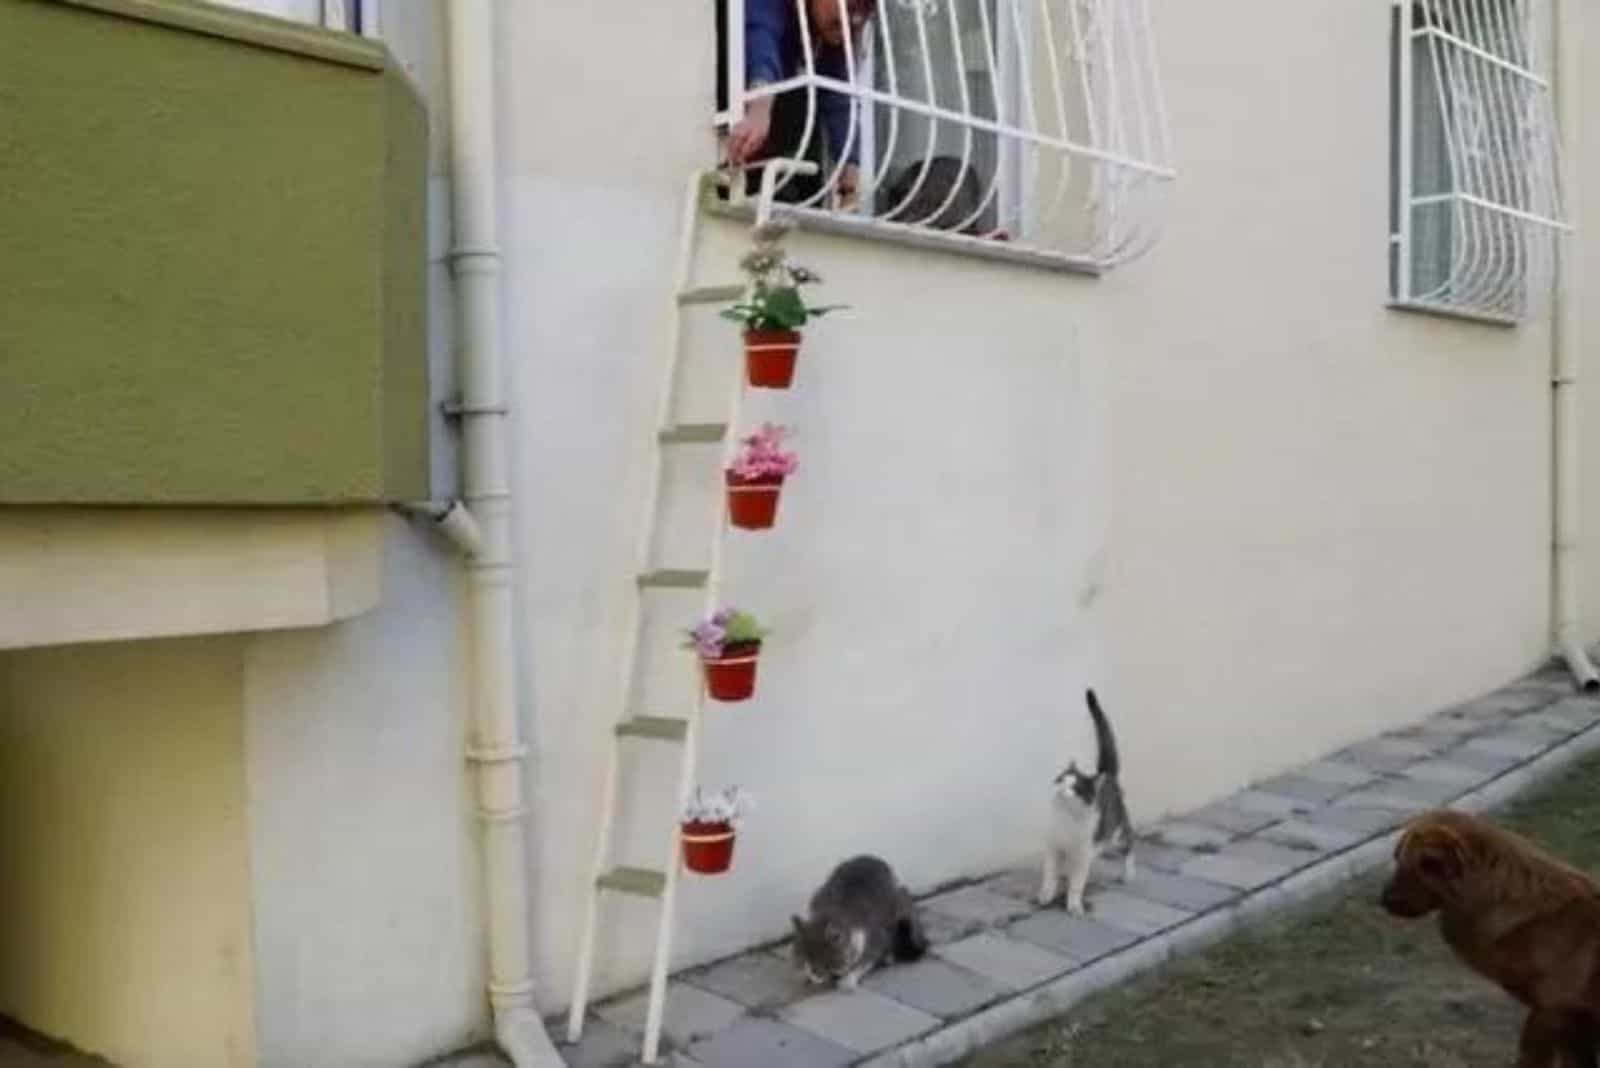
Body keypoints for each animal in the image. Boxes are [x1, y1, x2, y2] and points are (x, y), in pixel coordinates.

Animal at [787, 850, 928, 991]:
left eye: (825, 963)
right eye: (806, 959)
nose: (815, 974)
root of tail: (872, 857)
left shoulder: (876, 938)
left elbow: (865, 962)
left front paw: (848, 979)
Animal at [1036, 687, 1139, 914]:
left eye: (1074, 789)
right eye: (1060, 780)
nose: (1060, 790)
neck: (1067, 819)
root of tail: (1107, 774)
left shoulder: (1084, 852)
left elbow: (1077, 882)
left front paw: (1074, 904)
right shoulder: (1053, 846)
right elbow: (1049, 876)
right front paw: (1046, 894)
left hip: (1117, 832)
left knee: (1130, 845)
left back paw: (1128, 874)